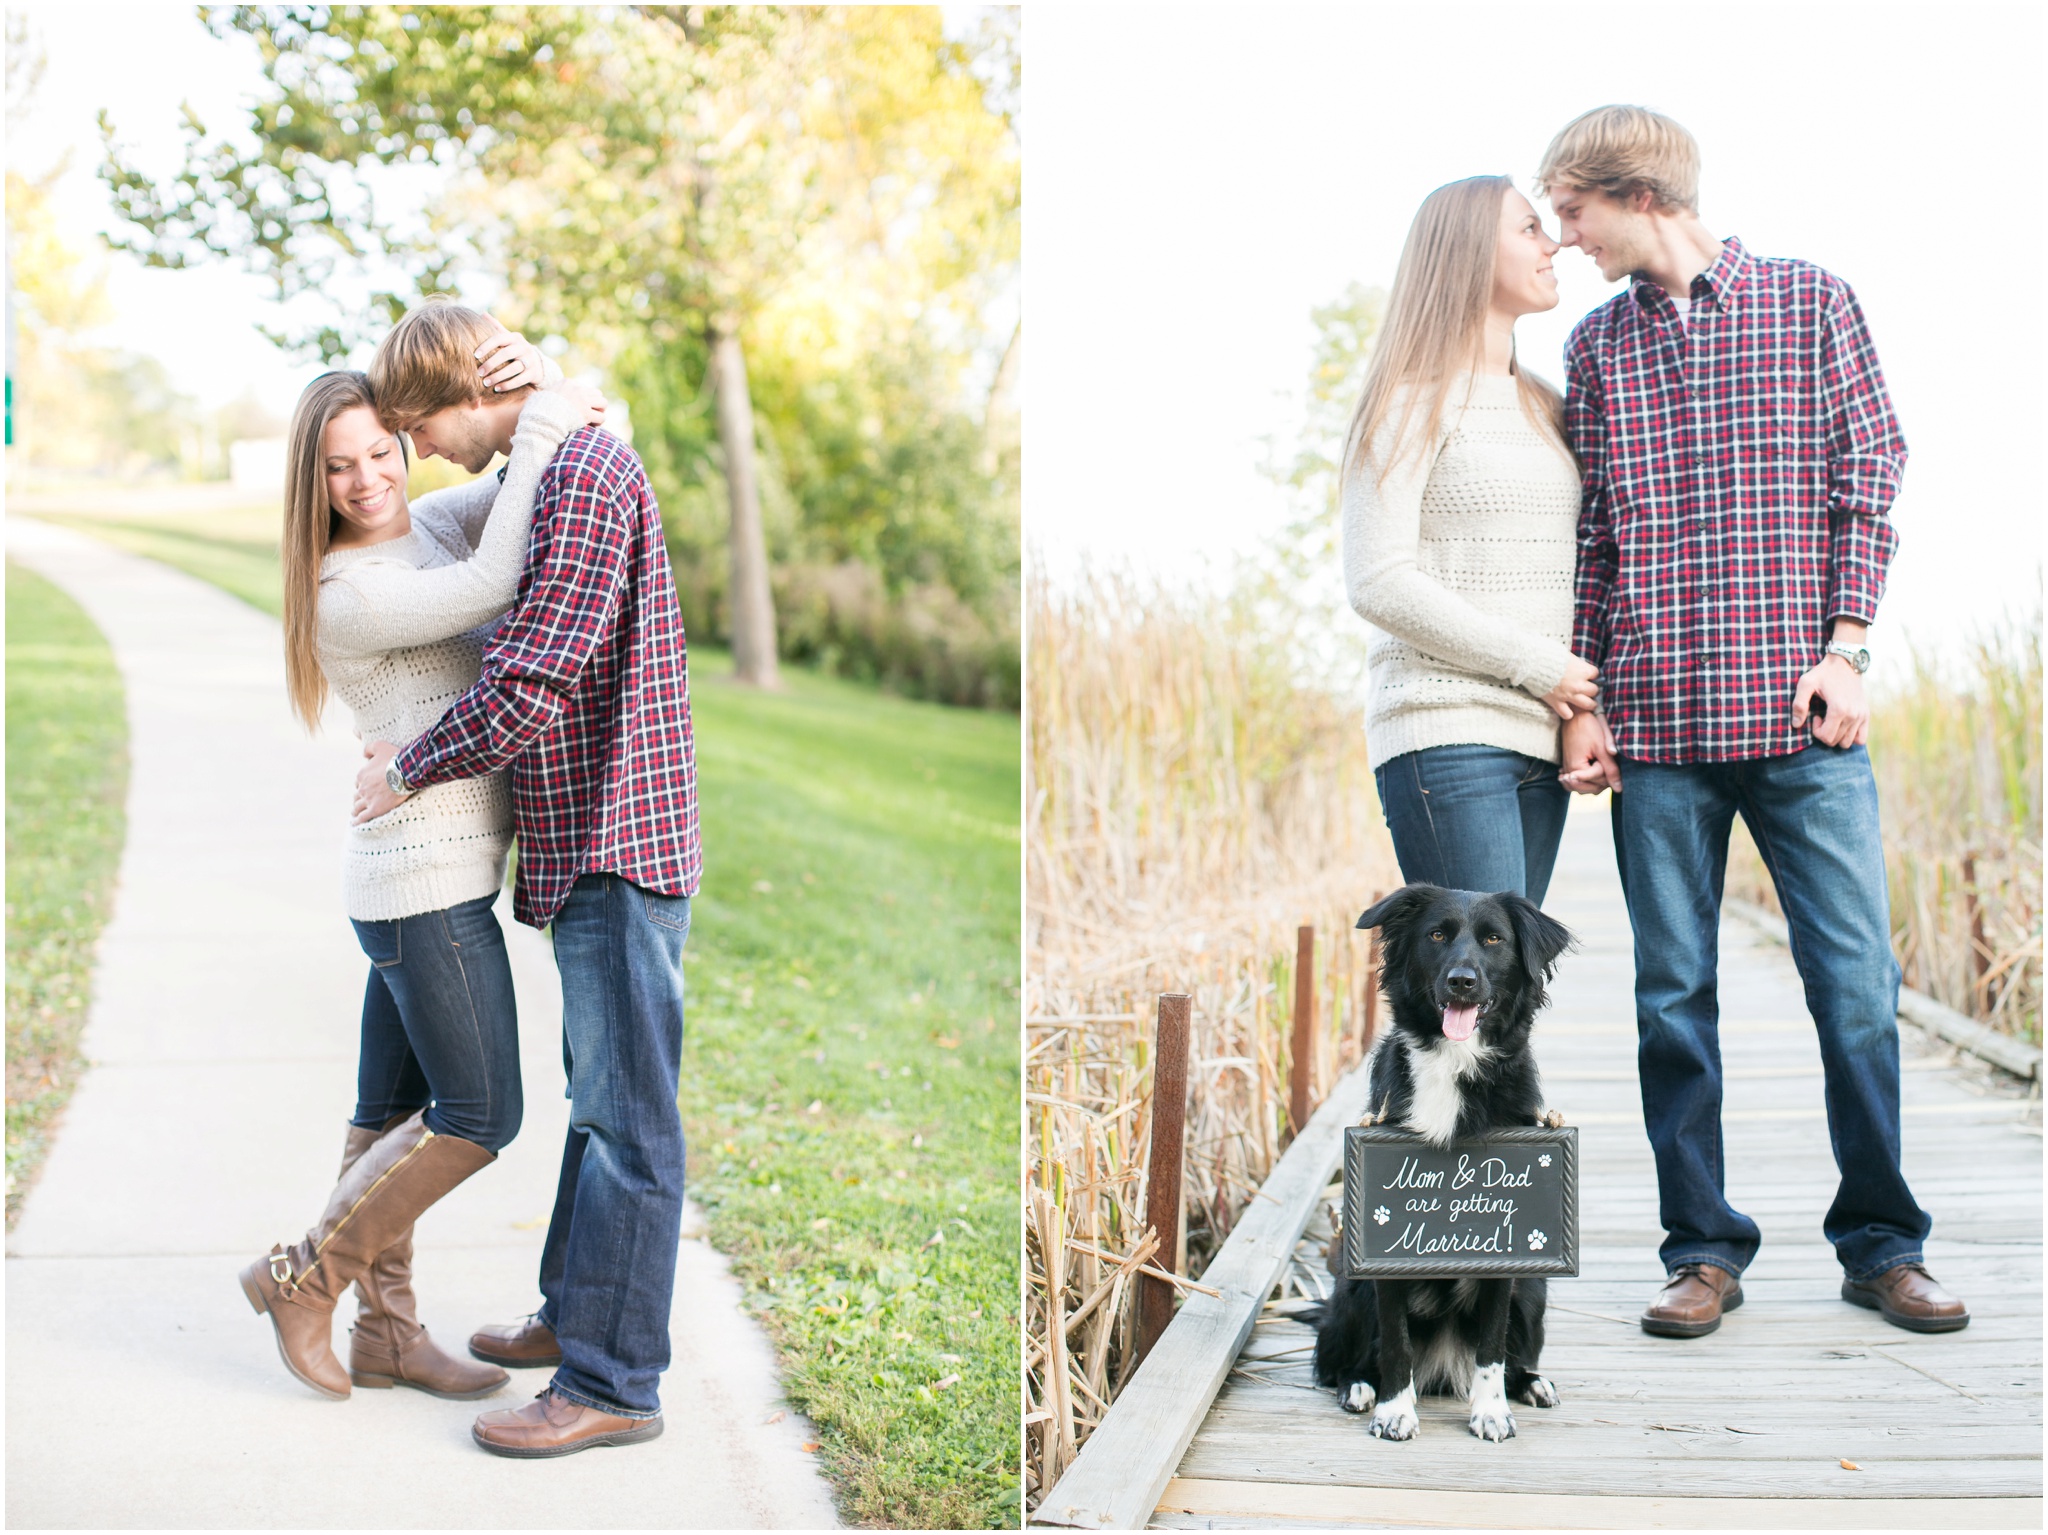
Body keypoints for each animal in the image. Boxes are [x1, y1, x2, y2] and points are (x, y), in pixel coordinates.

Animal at [1318, 884, 1572, 1449]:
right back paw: (1359, 1386)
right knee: (1336, 1361)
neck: (1453, 1064)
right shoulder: (1382, 1256)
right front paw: (1394, 1411)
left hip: (1535, 1290)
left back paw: (1533, 1382)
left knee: (1513, 1355)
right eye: (1436, 935)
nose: (1462, 981)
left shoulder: (1507, 1257)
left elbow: (1491, 1349)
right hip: (1351, 1285)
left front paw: (1491, 1412)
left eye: (1494, 940)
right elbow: (1395, 1341)